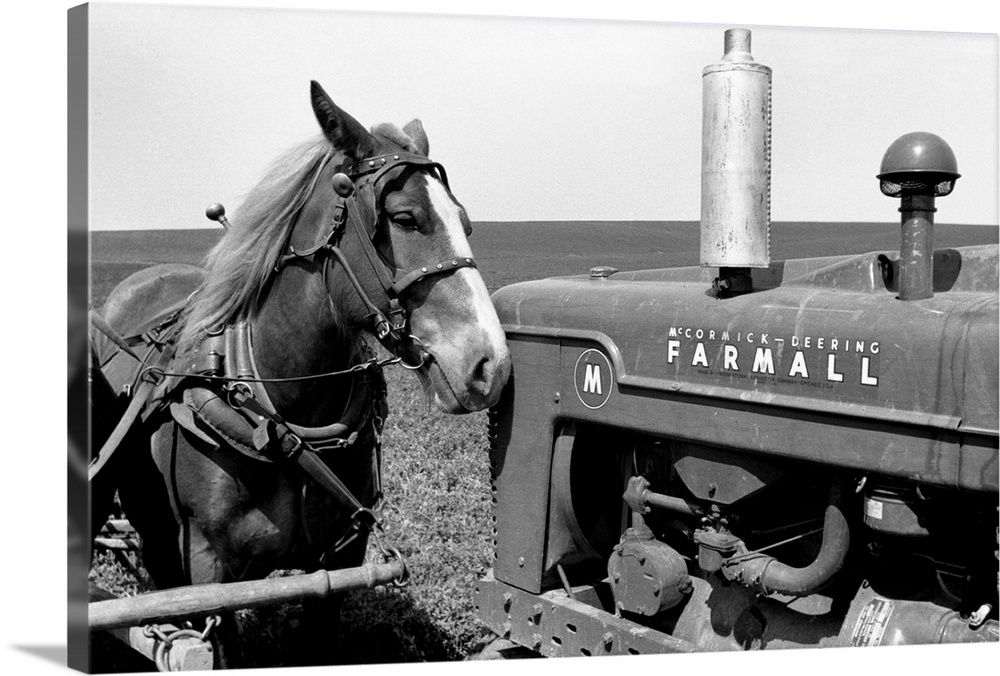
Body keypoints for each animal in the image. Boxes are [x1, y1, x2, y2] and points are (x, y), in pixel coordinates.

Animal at [90, 80, 512, 664]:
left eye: (466, 222)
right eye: (405, 218)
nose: (489, 364)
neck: (281, 417)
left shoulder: (338, 563)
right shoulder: (209, 573)